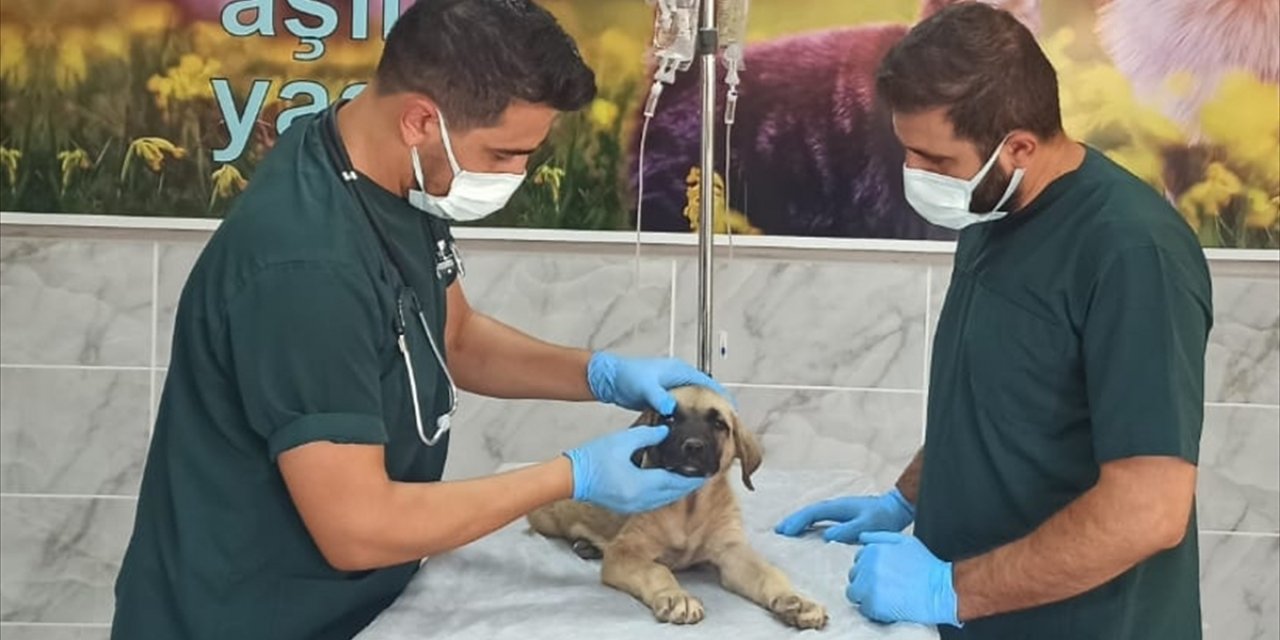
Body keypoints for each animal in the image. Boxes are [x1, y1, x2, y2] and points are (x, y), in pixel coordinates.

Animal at [527, 384, 829, 629]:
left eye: (719, 424)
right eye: (669, 419)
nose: (692, 446)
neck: (689, 508)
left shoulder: (733, 551)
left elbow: (768, 573)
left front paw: (796, 600)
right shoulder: (627, 552)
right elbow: (657, 570)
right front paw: (675, 596)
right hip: (546, 517)